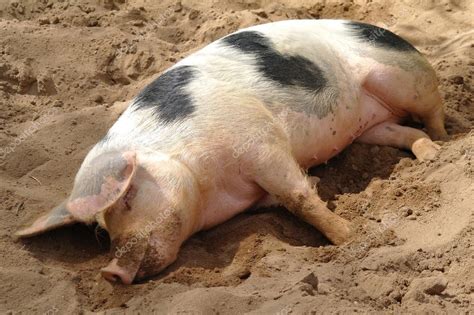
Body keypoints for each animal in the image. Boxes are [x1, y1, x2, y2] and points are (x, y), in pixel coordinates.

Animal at [14, 20, 446, 286]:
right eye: (102, 232)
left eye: (129, 197)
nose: (111, 273)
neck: (213, 191)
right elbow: (290, 196)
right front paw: (321, 184)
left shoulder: (259, 139)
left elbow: (298, 197)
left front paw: (350, 236)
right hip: (372, 127)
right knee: (406, 132)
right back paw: (430, 156)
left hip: (403, 76)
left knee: (435, 112)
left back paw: (446, 147)